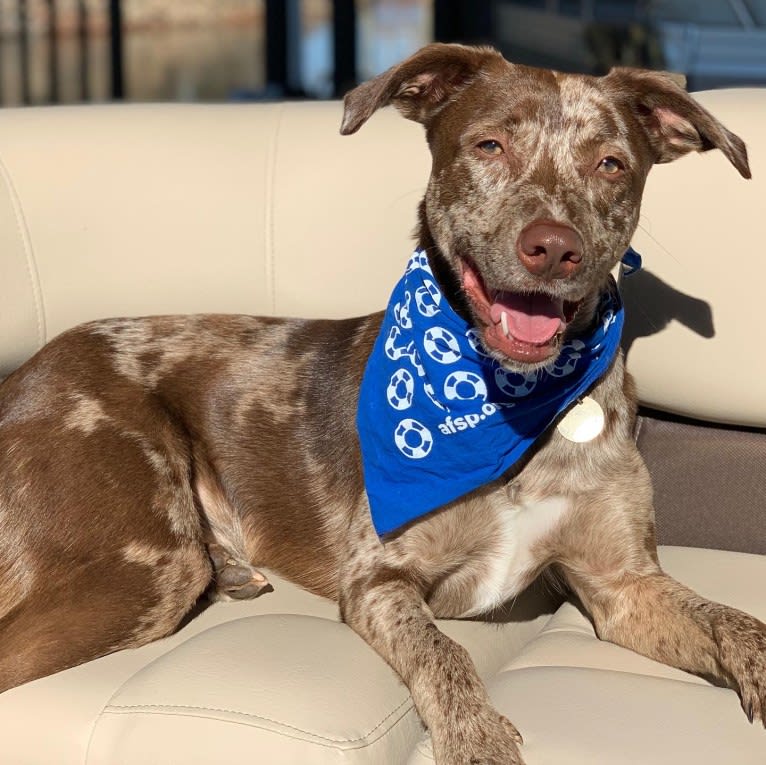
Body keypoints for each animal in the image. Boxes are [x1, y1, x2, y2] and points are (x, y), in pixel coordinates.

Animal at [1, 44, 766, 760]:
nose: (553, 249)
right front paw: (478, 740)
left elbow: (737, 621)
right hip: (146, 564)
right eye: (489, 145)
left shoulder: (622, 584)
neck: (510, 402)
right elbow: (444, 653)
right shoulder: (379, 578)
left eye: (610, 164)